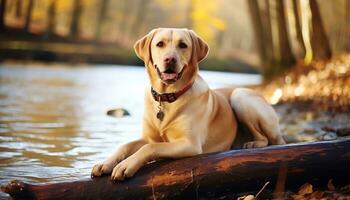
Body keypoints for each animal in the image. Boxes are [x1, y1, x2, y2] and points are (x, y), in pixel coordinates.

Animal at [91, 28, 286, 181]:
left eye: (183, 45)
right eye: (160, 44)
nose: (170, 59)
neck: (166, 97)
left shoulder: (189, 144)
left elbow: (152, 147)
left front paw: (126, 165)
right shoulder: (148, 137)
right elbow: (125, 145)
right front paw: (105, 163)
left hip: (241, 96)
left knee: (267, 139)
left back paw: (252, 143)